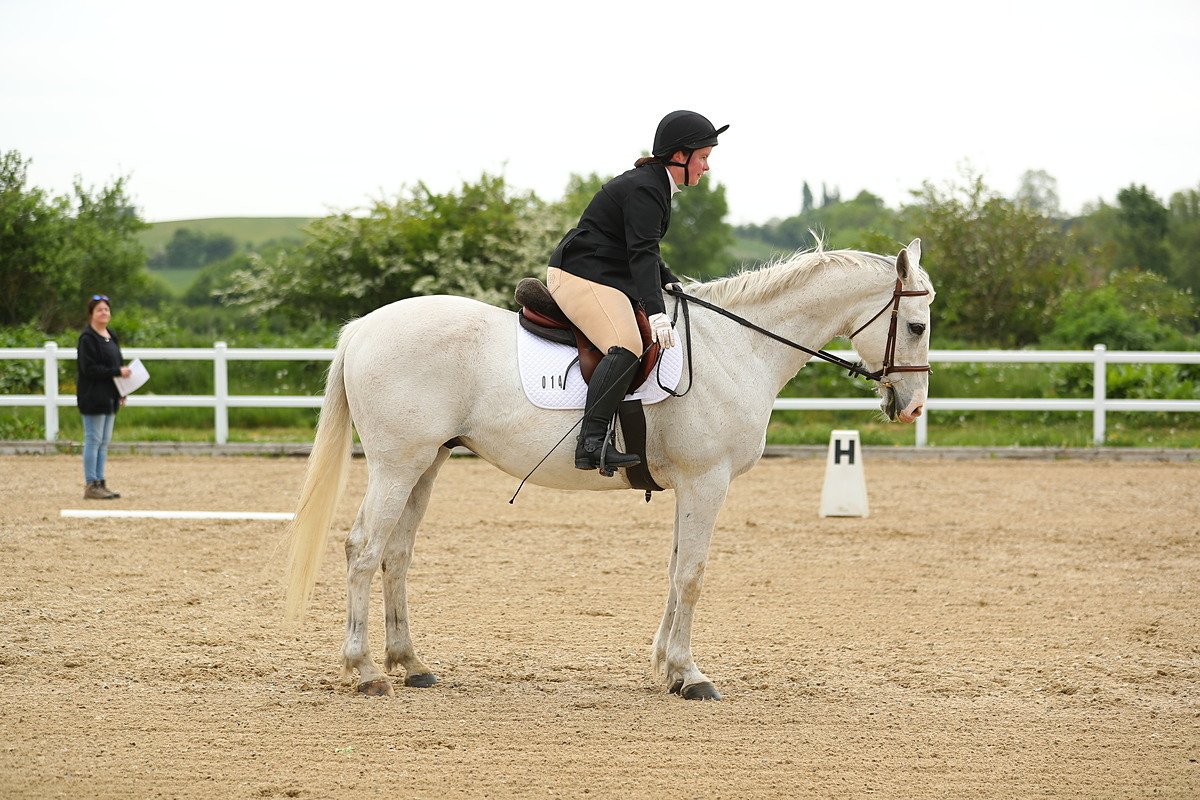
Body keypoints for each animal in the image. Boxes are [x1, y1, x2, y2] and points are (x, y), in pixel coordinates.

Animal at [282, 239, 935, 700]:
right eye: (918, 325)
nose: (910, 407)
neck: (735, 349)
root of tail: (364, 327)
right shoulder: (707, 481)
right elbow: (692, 575)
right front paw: (691, 675)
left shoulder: (691, 487)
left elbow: (674, 572)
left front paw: (666, 670)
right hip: (397, 464)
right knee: (363, 548)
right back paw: (366, 670)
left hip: (428, 463)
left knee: (396, 554)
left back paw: (411, 664)